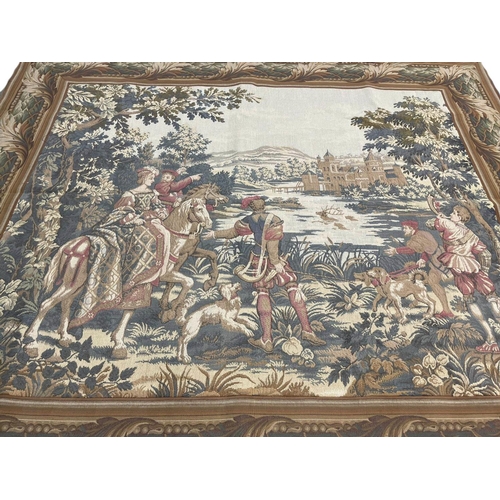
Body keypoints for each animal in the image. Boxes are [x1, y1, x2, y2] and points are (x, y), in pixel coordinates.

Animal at [23, 198, 212, 360]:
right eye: (199, 209)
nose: (209, 224)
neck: (172, 238)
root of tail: (69, 246)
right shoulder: (163, 274)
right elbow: (188, 282)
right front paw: (173, 310)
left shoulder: (144, 283)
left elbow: (131, 309)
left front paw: (118, 343)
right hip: (72, 284)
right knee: (46, 304)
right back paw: (31, 343)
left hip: (76, 284)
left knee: (65, 303)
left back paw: (64, 336)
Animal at [159, 183, 229, 323]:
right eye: (216, 191)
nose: (225, 198)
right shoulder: (180, 257)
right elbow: (171, 282)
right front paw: (168, 309)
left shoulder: (190, 252)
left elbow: (212, 255)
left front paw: (210, 282)